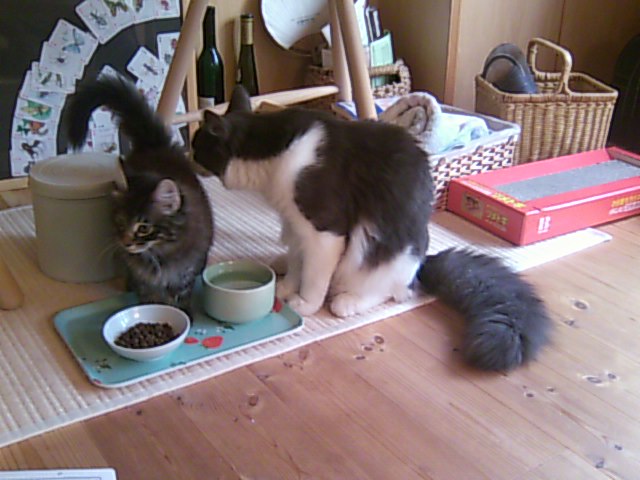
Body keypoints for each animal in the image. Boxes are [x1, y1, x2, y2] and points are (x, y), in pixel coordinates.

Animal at [65, 75, 213, 312]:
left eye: (144, 228)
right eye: (120, 222)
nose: (126, 243)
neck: (160, 252)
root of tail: (154, 145)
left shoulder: (184, 272)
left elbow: (180, 296)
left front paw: (183, 312)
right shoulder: (142, 277)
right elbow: (148, 296)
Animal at [191, 85, 551, 371]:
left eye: (197, 146)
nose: (185, 154)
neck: (272, 156)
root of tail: (423, 262)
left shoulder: (323, 231)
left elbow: (314, 278)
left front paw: (304, 303)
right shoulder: (294, 224)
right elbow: (296, 264)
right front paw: (286, 288)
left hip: (377, 255)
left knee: (392, 292)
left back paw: (347, 302)